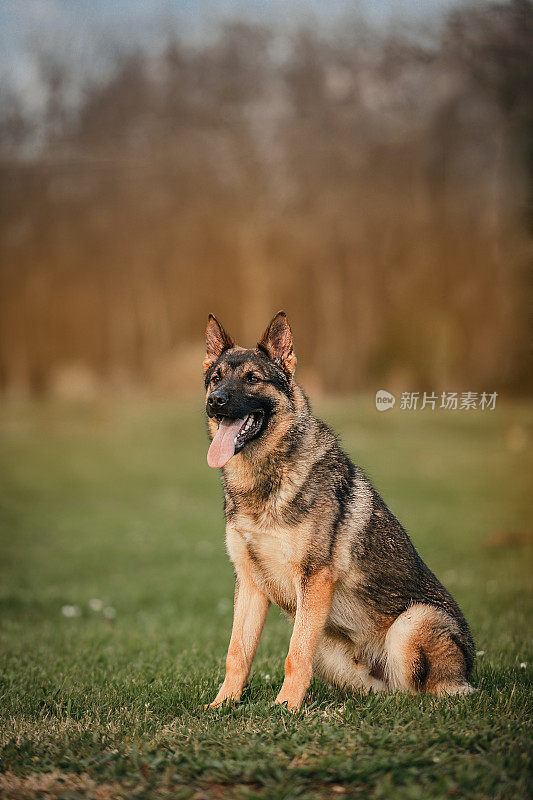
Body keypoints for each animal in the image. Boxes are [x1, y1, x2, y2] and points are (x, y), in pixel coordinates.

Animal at [204, 310, 474, 708]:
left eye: (252, 379)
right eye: (216, 378)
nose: (216, 401)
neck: (265, 480)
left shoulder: (314, 579)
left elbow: (294, 654)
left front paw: (286, 708)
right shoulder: (250, 584)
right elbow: (237, 652)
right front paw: (223, 704)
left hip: (413, 623)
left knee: (425, 694)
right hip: (331, 651)